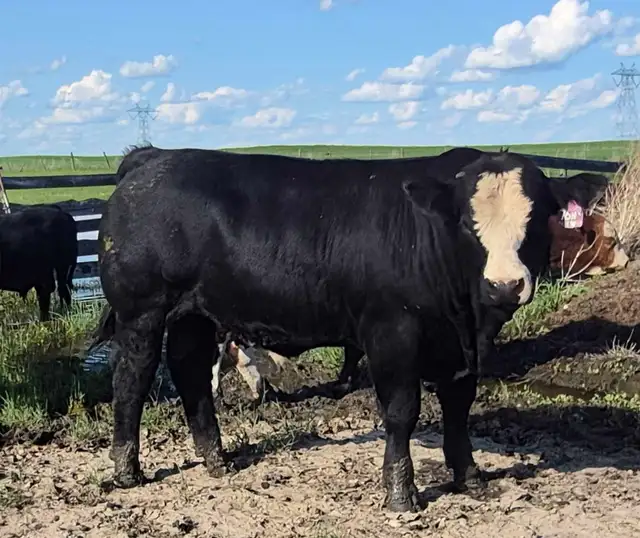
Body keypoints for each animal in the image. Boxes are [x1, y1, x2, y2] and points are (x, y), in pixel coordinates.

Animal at [90, 146, 608, 513]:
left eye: (539, 217)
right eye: (466, 222)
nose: (504, 285)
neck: (465, 317)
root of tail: (154, 157)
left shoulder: (461, 350)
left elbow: (459, 408)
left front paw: (470, 477)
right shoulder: (391, 333)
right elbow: (401, 412)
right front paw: (401, 494)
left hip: (195, 313)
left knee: (190, 372)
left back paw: (217, 460)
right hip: (143, 310)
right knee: (133, 377)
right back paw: (127, 471)